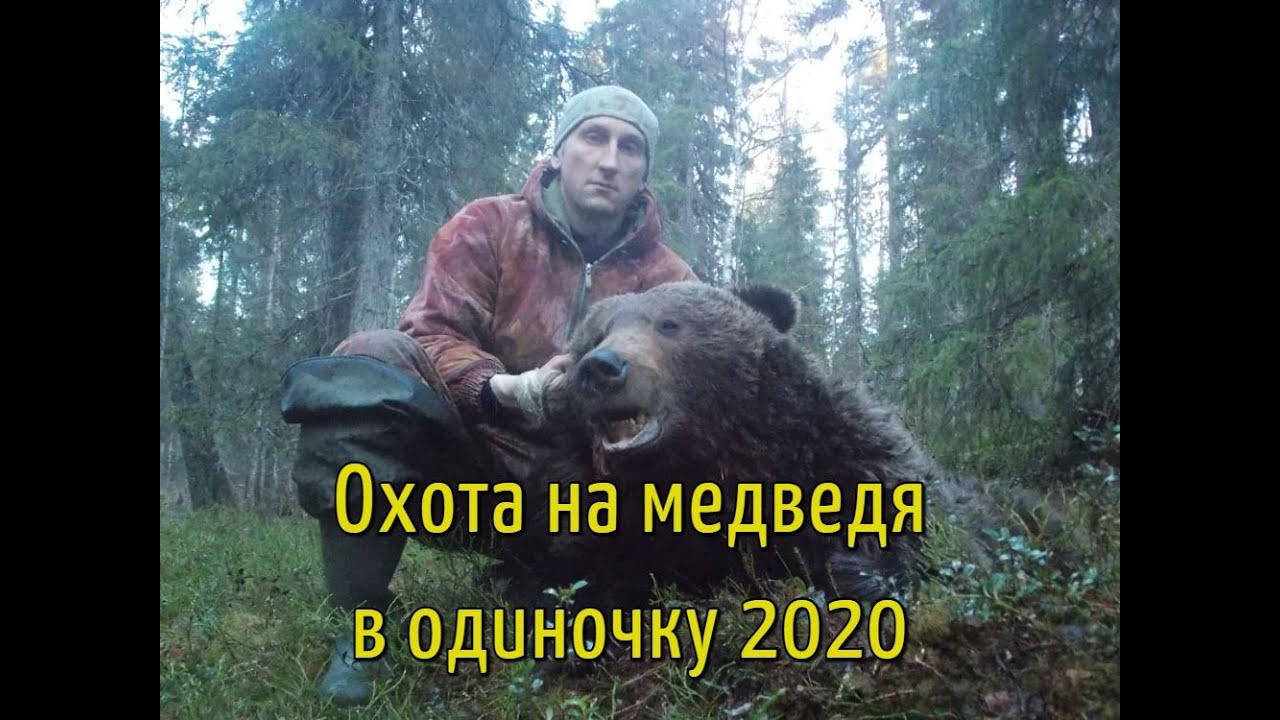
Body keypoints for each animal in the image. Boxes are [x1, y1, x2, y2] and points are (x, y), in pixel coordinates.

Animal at [496, 281, 955, 614]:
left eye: (668, 324)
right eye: (596, 335)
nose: (601, 368)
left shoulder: (840, 454)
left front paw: (861, 575)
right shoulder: (599, 507)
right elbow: (563, 565)